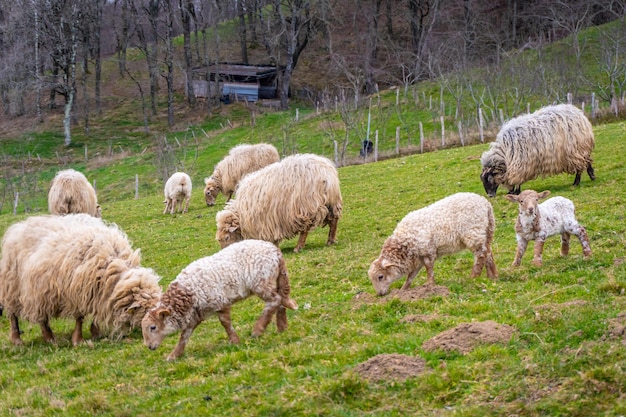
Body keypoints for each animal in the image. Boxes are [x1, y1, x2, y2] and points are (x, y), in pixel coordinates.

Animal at [0, 213, 163, 346]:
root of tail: (19, 225)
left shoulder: (96, 292)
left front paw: (95, 332)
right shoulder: (78, 291)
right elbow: (80, 317)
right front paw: (77, 340)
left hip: (38, 289)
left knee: (40, 314)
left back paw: (48, 337)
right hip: (13, 286)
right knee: (15, 315)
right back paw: (20, 339)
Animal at [141, 239, 298, 360]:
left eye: (153, 327)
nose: (149, 347)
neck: (186, 295)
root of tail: (275, 251)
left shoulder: (220, 301)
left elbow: (225, 323)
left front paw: (234, 341)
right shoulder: (194, 315)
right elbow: (184, 336)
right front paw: (174, 355)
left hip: (261, 281)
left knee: (275, 300)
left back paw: (258, 330)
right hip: (274, 279)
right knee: (280, 301)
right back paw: (282, 327)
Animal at [214, 152, 342, 250]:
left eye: (227, 237)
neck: (241, 214)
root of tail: (325, 173)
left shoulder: (265, 223)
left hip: (305, 206)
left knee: (305, 228)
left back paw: (298, 247)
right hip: (332, 202)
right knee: (334, 220)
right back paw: (331, 240)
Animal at [366, 192, 498, 296]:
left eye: (380, 276)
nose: (380, 294)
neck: (404, 243)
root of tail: (485, 204)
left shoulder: (427, 250)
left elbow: (429, 268)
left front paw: (429, 285)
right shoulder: (417, 259)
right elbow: (411, 276)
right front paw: (404, 290)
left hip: (473, 232)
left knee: (481, 254)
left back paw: (474, 277)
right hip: (486, 231)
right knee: (488, 252)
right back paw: (492, 276)